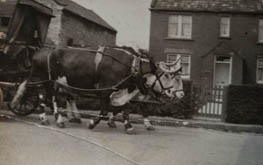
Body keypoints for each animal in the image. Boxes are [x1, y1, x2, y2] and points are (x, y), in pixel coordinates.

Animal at [10, 45, 184, 133]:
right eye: (169, 76)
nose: (181, 95)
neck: (132, 68)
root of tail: (40, 51)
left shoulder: (121, 91)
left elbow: (124, 109)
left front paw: (128, 126)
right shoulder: (105, 90)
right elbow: (105, 110)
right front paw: (93, 123)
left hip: (50, 81)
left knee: (46, 96)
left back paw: (52, 117)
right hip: (44, 79)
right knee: (47, 97)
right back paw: (56, 119)